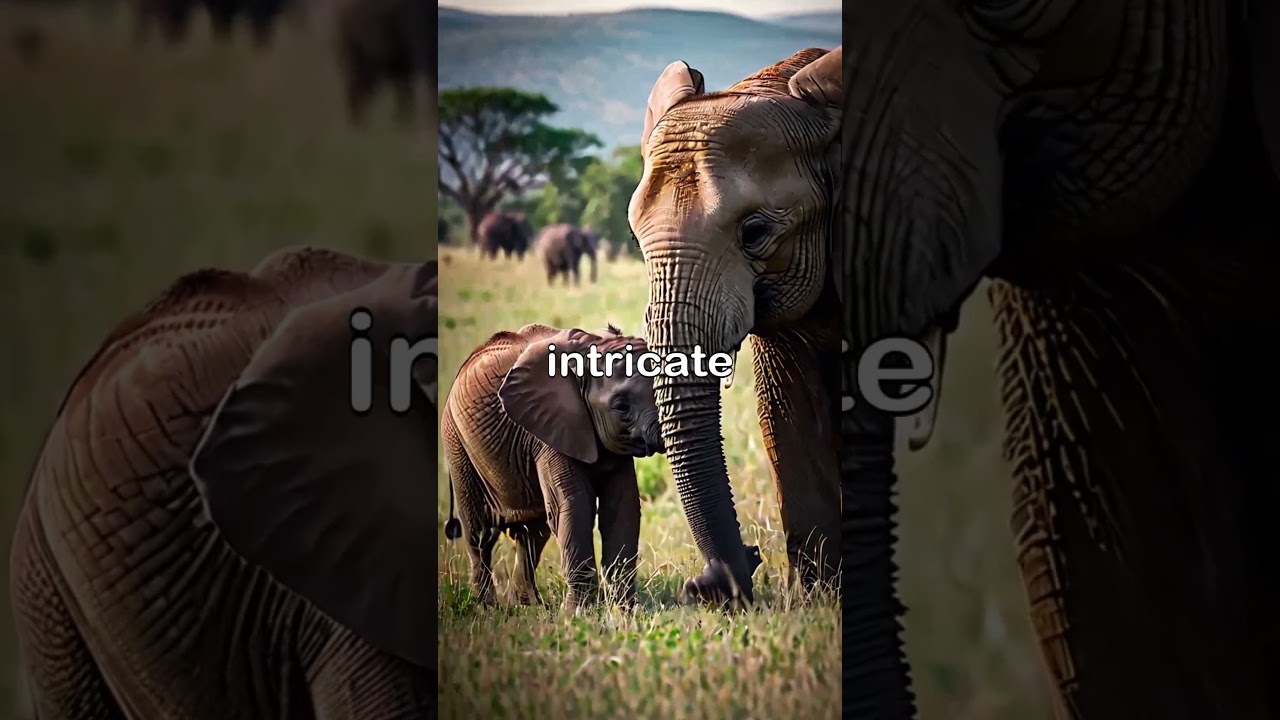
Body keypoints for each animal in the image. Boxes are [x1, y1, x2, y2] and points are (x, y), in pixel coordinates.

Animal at [442, 323, 665, 612]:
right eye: (621, 406)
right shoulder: (548, 432)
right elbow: (574, 505)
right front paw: (579, 614)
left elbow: (621, 506)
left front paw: (626, 611)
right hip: (456, 442)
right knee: (480, 533)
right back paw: (488, 608)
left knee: (532, 534)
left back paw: (528, 607)